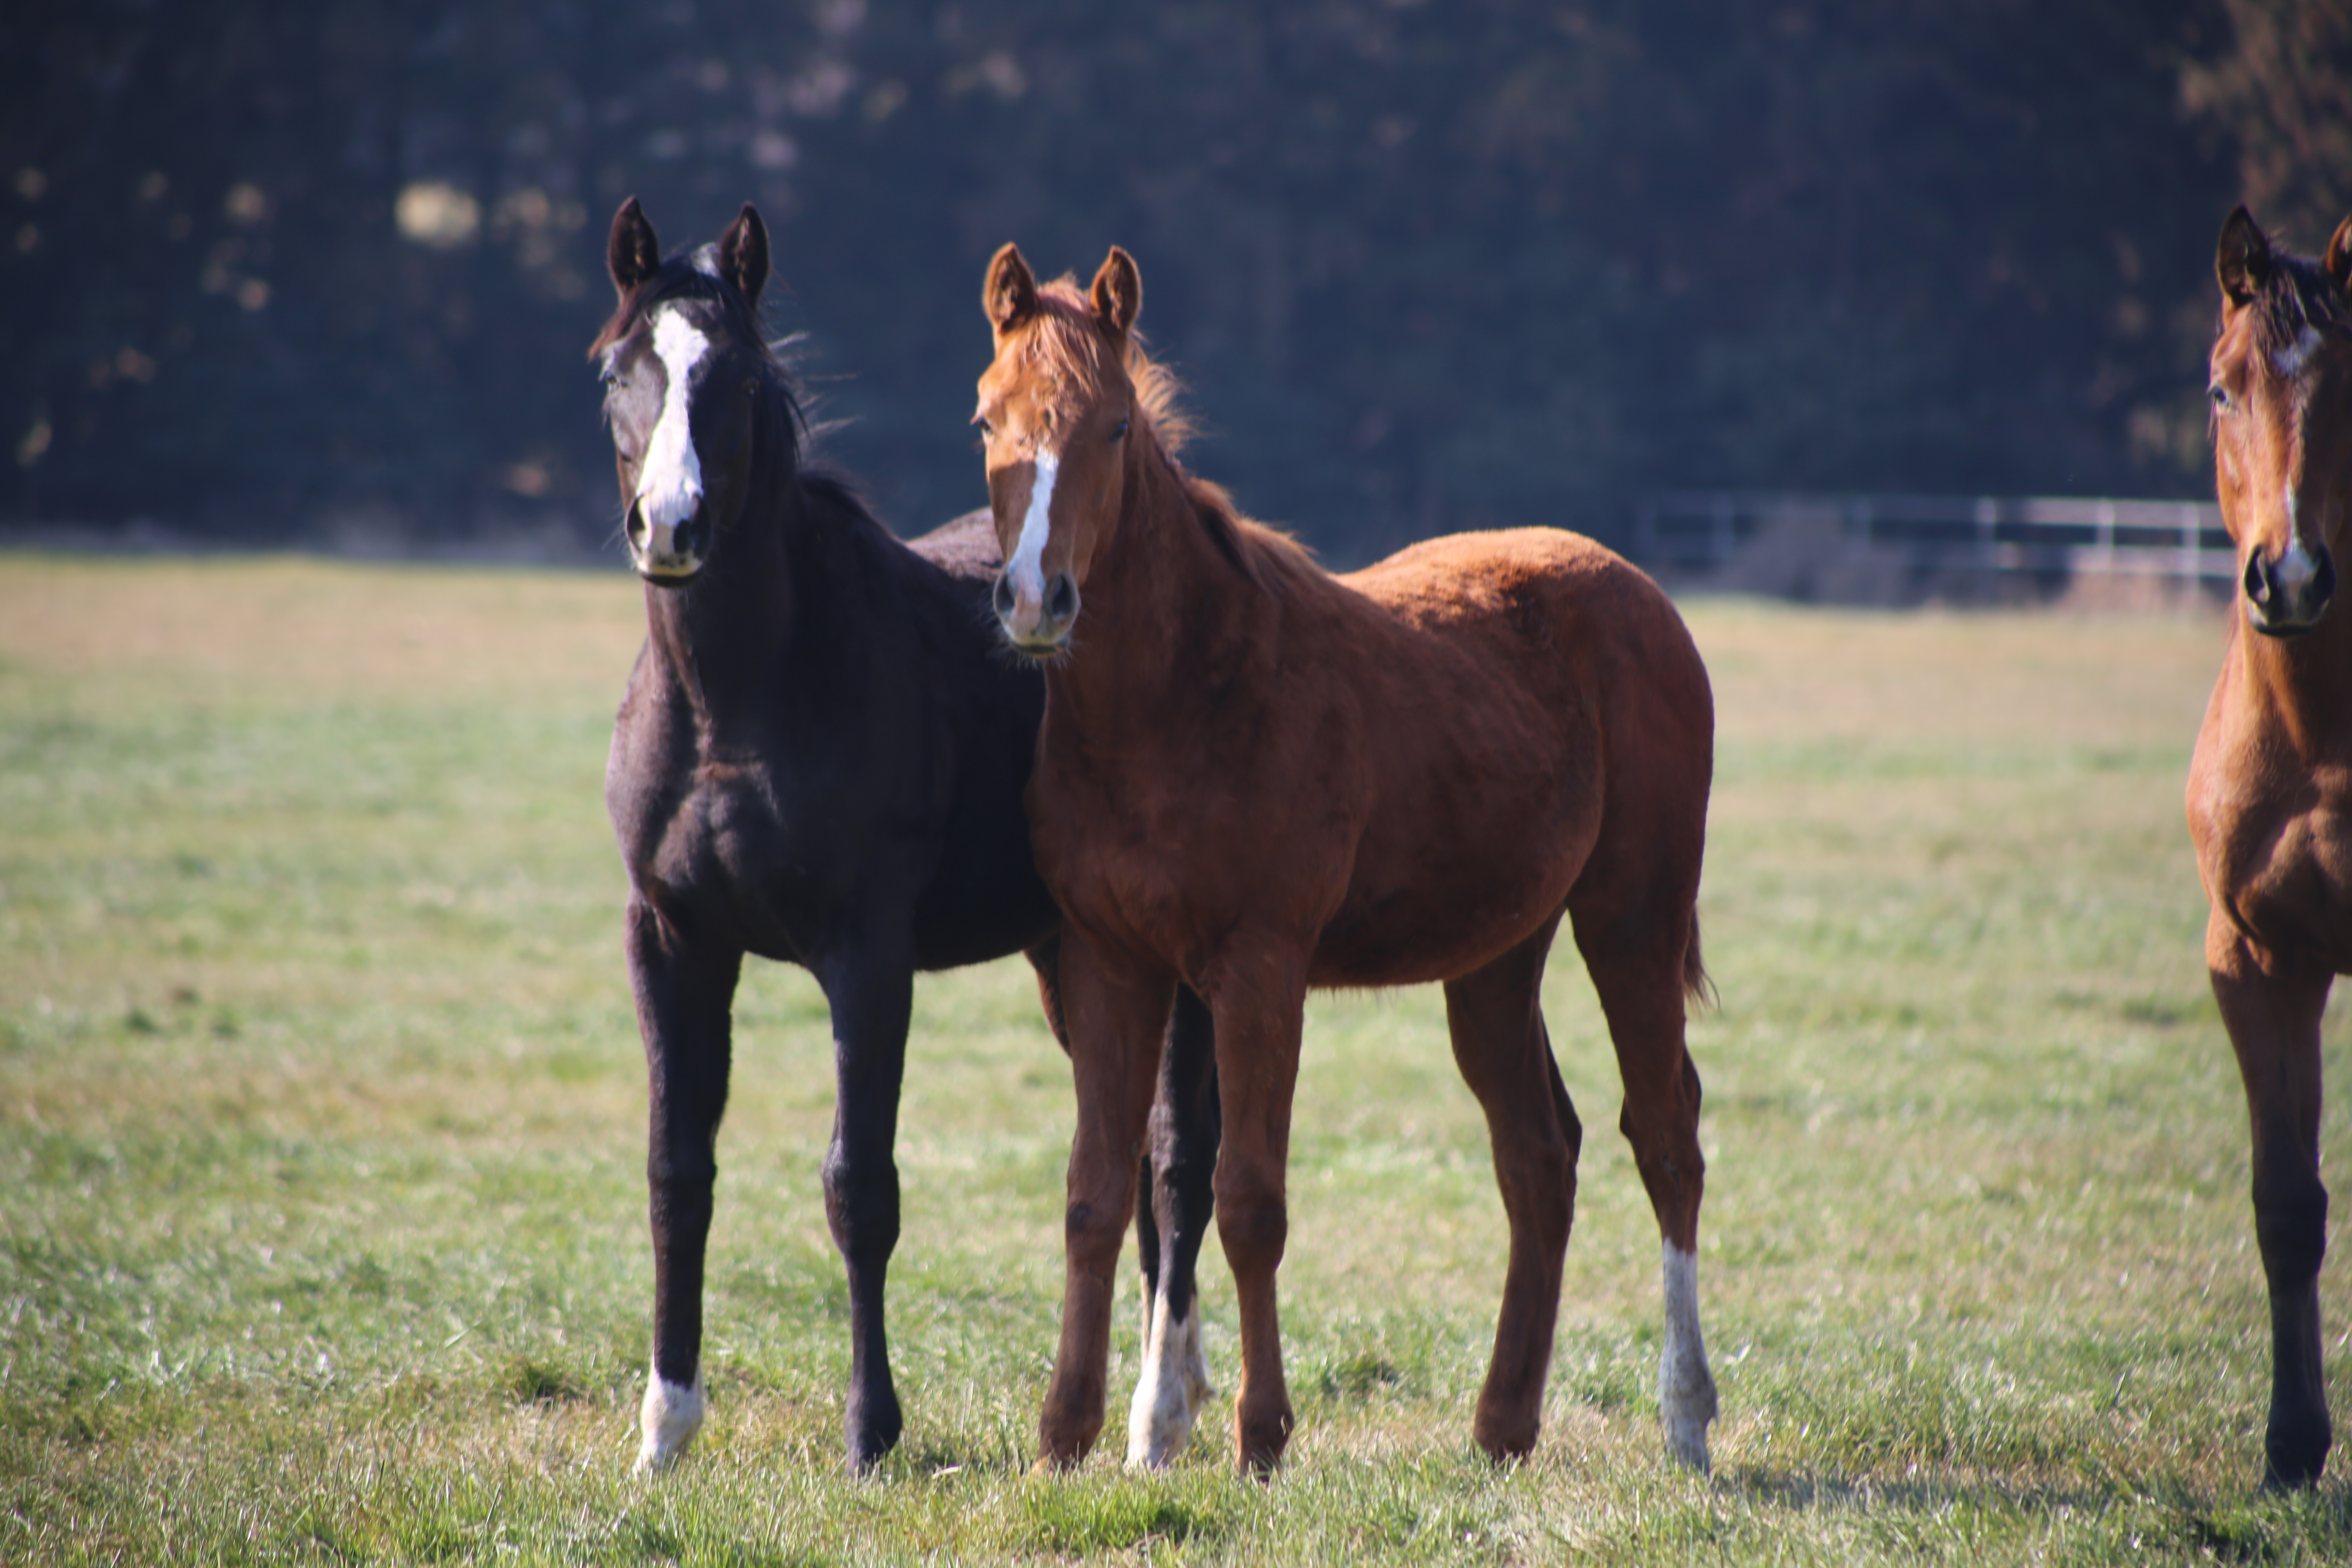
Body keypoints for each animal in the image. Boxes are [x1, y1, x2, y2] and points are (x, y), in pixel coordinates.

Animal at [588, 200, 1223, 1476]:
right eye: (617, 371)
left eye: (738, 378)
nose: (670, 524)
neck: (744, 693)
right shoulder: (671, 938)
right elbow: (678, 1174)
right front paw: (664, 1430)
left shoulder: (866, 955)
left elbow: (859, 1186)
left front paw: (870, 1433)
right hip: (1072, 957)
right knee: (1134, 1155)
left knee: (1182, 1159)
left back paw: (1161, 1415)